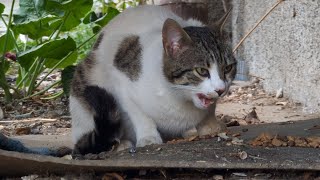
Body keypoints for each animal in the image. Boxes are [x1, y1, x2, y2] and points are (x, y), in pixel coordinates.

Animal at [69, 4, 235, 155]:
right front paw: (148, 136)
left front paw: (210, 125)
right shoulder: (120, 79)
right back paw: (121, 144)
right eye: (201, 71)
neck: (177, 97)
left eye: (227, 68)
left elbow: (210, 109)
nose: (220, 90)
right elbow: (138, 113)